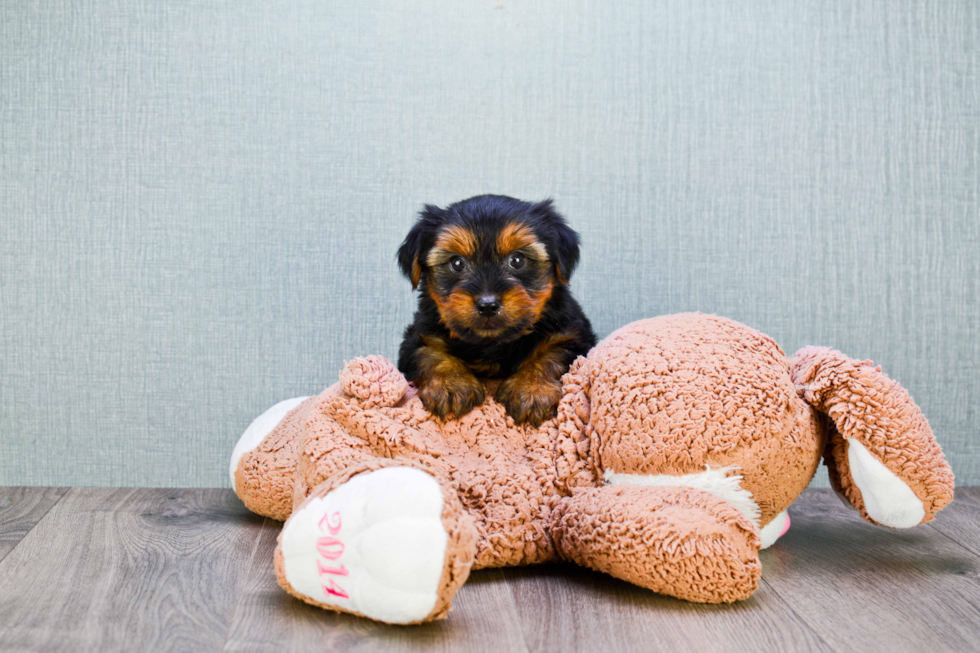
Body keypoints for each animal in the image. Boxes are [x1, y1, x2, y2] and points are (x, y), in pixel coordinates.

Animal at [396, 196, 596, 426]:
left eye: (517, 260)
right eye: (456, 263)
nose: (487, 304)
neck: (491, 343)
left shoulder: (574, 335)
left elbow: (552, 354)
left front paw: (531, 389)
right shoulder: (417, 336)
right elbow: (430, 352)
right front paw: (451, 384)